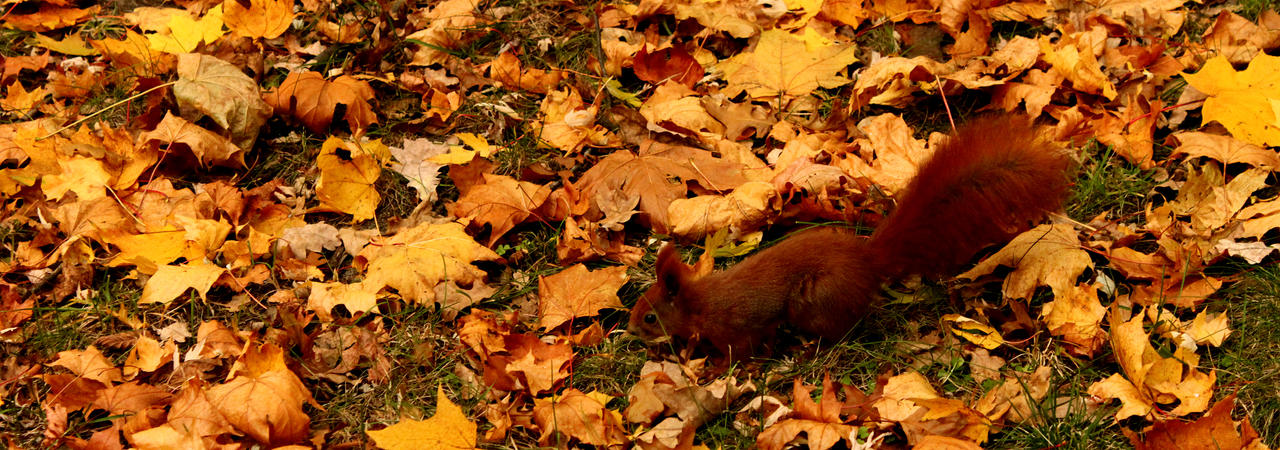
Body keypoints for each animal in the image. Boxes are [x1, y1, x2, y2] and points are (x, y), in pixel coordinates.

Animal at [624, 116, 1075, 357]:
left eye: (649, 316)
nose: (630, 332)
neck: (699, 302)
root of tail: (866, 261)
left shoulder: (735, 328)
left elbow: (742, 352)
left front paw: (717, 369)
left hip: (816, 300)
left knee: (841, 329)